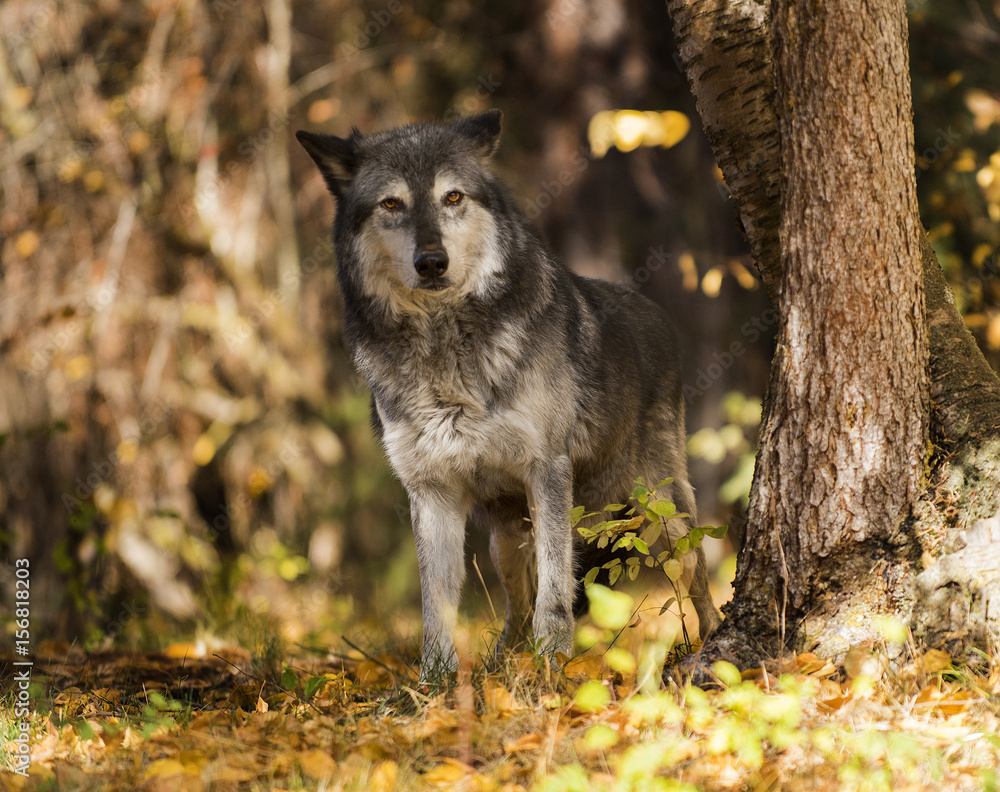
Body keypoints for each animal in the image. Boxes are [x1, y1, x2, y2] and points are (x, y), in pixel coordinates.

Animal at [294, 110, 720, 680]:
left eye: (453, 196)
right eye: (391, 204)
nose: (432, 262)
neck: (443, 347)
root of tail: (658, 315)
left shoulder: (548, 470)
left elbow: (556, 590)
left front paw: (554, 665)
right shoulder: (431, 492)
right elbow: (436, 603)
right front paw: (435, 682)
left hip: (666, 518)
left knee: (697, 582)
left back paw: (709, 647)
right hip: (506, 541)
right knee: (516, 608)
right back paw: (503, 665)